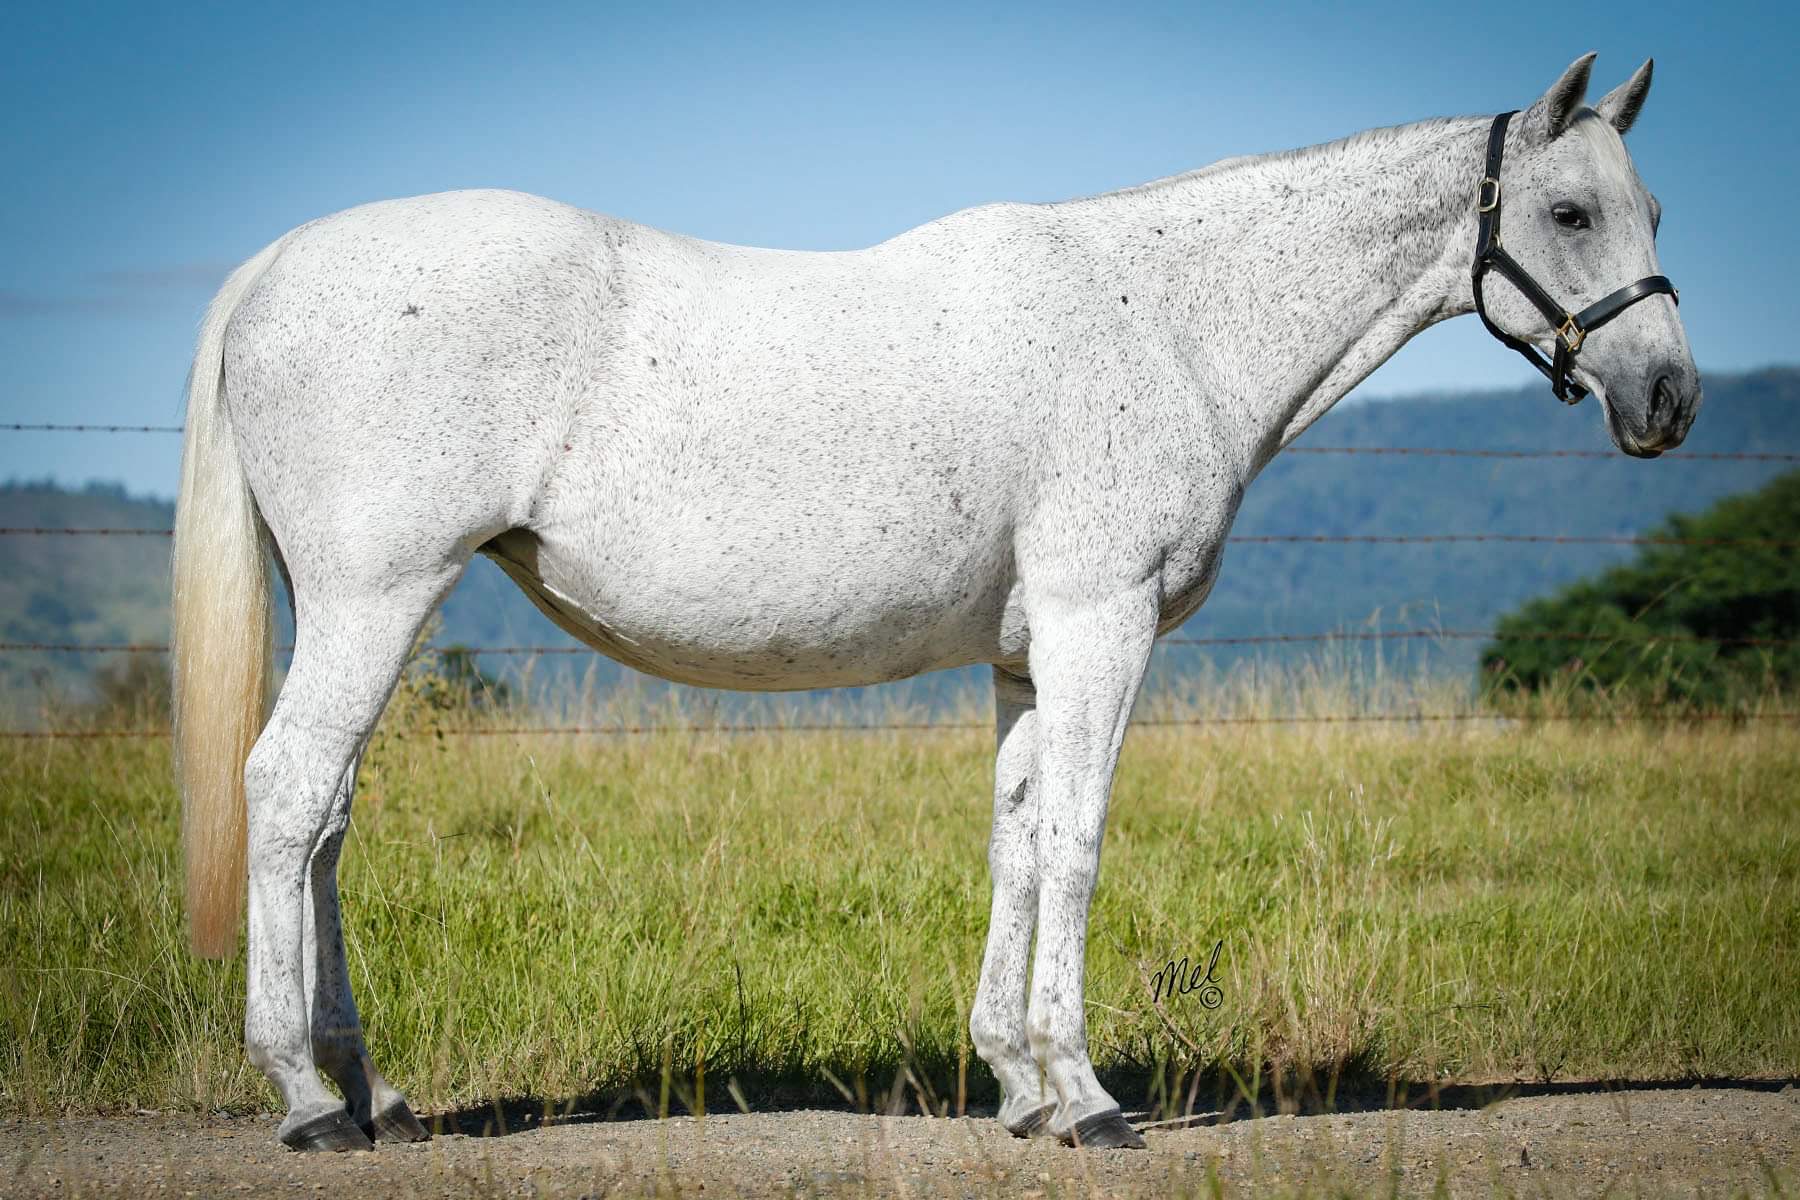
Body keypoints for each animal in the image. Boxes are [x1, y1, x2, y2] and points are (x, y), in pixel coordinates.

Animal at [172, 53, 1698, 1152]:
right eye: (1569, 212)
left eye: (1654, 210)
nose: (1669, 399)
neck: (1164, 316)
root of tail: (270, 267)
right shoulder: (1101, 624)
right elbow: (1079, 842)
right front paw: (1088, 1098)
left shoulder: (1028, 655)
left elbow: (1015, 842)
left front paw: (1019, 1084)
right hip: (380, 596)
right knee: (288, 793)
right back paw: (306, 1102)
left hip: (348, 607)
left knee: (325, 822)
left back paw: (373, 1093)